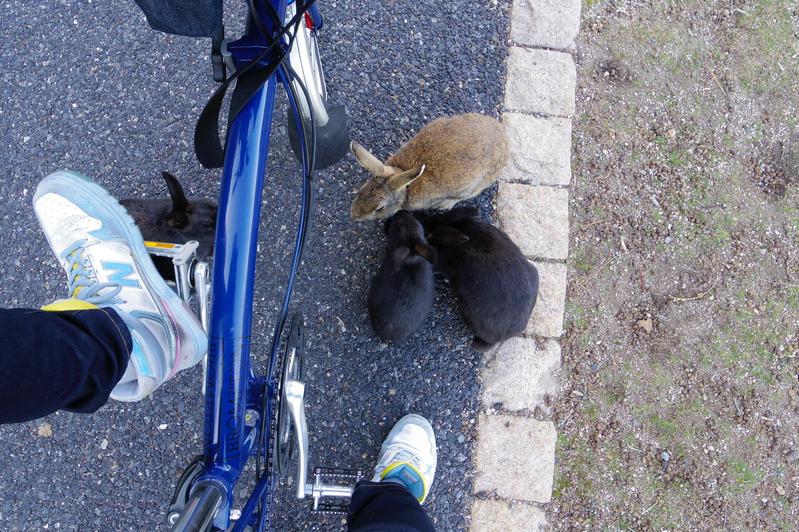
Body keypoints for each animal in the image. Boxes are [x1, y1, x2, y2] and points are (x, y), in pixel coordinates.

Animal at [348, 112, 506, 220]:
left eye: (379, 208)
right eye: (361, 190)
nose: (353, 216)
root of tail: (506, 142)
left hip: (471, 187)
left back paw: (444, 205)